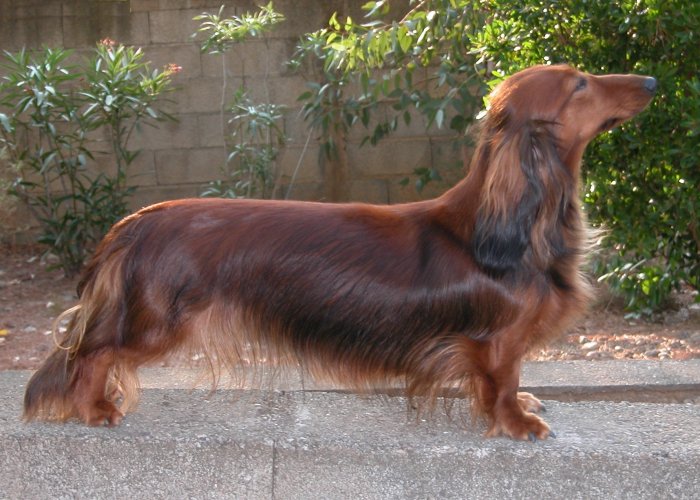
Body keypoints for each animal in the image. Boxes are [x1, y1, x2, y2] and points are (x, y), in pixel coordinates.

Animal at [24, 64, 656, 440]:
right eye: (579, 84)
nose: (651, 82)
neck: (509, 228)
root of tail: (134, 223)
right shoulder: (494, 339)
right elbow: (499, 379)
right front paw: (516, 421)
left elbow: (508, 377)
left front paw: (523, 402)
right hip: (157, 320)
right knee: (90, 352)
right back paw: (93, 408)